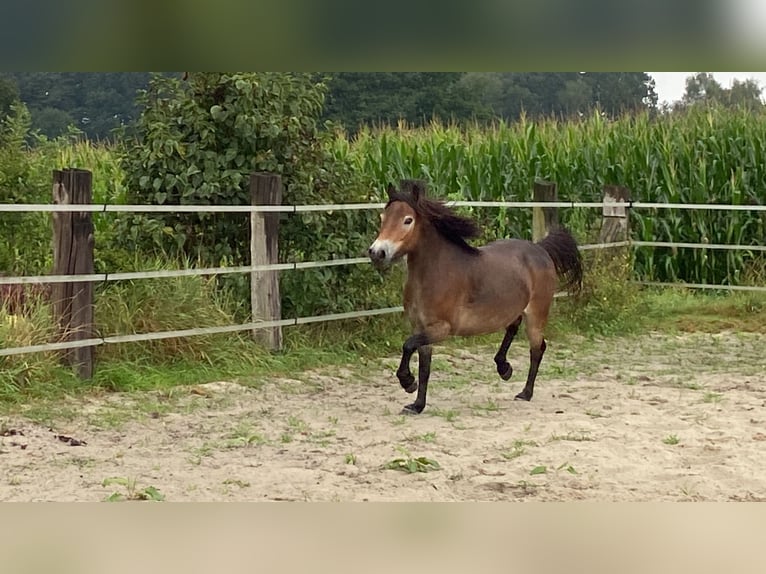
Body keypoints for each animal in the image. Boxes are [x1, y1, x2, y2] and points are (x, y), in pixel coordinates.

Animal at [370, 180, 584, 414]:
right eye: (382, 217)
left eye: (408, 220)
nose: (377, 253)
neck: (436, 272)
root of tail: (540, 248)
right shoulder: (420, 327)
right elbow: (424, 367)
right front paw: (417, 405)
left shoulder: (441, 328)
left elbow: (408, 346)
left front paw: (408, 383)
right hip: (512, 307)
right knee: (513, 327)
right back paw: (504, 368)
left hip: (536, 314)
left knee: (537, 348)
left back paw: (525, 393)